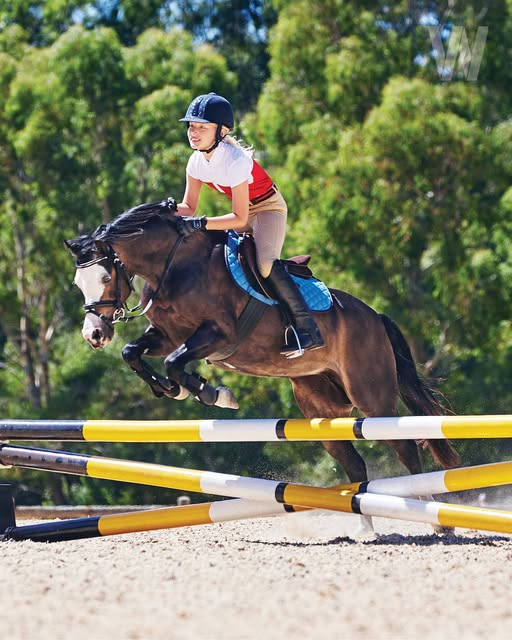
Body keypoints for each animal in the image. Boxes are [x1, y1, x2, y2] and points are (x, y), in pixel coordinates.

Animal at [65, 197, 460, 532]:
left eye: (105, 277)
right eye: (77, 282)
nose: (94, 335)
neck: (174, 266)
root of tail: (375, 317)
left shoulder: (219, 334)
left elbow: (176, 362)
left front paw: (213, 393)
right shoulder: (166, 335)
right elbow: (133, 352)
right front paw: (172, 389)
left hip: (371, 398)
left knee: (406, 447)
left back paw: (436, 521)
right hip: (322, 407)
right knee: (353, 462)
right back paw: (364, 527)